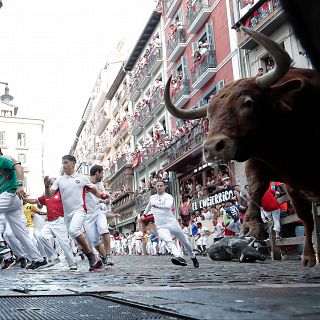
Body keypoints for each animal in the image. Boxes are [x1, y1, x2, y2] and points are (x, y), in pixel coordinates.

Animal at [164, 27, 320, 268]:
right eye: (208, 115)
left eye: (248, 102)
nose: (212, 148)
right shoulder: (278, 175)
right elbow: (257, 188)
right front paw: (252, 227)